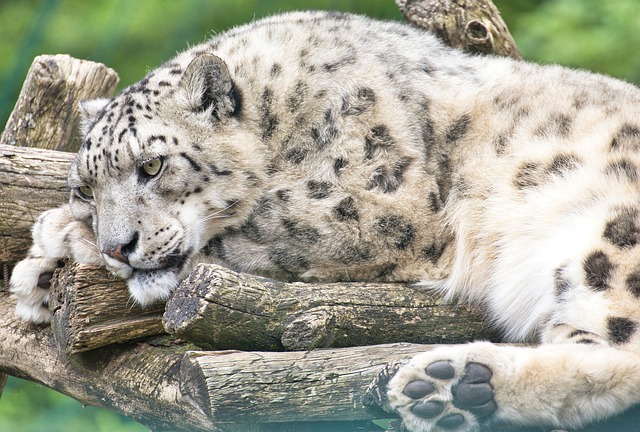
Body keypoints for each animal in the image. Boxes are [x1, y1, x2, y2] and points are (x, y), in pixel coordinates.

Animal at [10, 9, 640, 432]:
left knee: (622, 350)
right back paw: (458, 393)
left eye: (152, 165)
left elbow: (262, 222)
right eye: (87, 189)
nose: (117, 247)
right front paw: (43, 267)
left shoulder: (379, 207)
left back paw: (453, 381)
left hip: (612, 235)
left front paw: (56, 239)